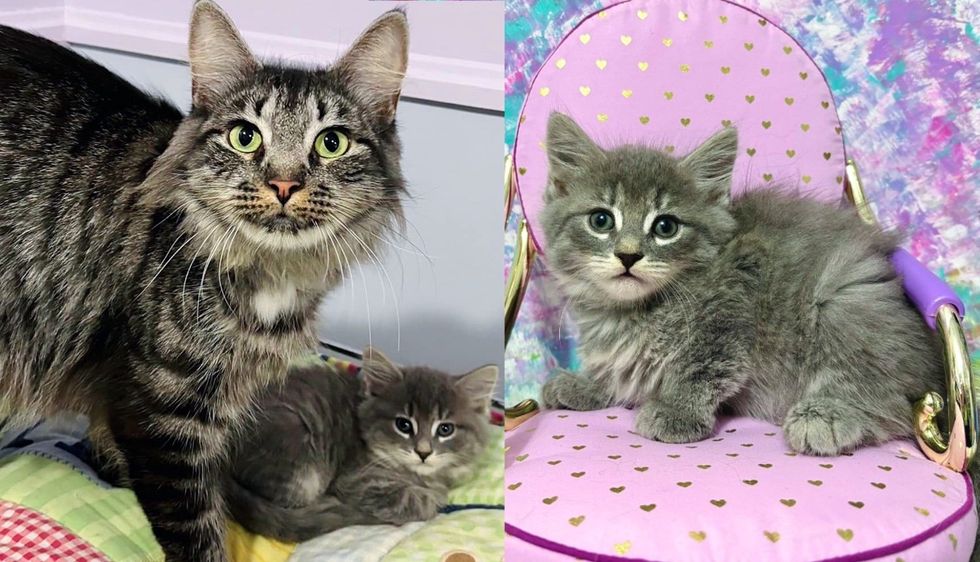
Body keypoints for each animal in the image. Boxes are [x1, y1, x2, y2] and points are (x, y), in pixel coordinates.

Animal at [0, 3, 410, 556]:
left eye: (332, 143)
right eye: (245, 136)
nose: (283, 184)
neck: (271, 280)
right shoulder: (160, 419)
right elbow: (199, 534)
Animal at [225, 348, 494, 540]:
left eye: (445, 429)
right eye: (404, 425)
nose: (423, 452)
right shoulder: (355, 479)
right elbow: (421, 501)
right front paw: (434, 497)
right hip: (300, 463)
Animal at [540, 112, 944, 456]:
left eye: (666, 227)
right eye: (601, 220)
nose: (628, 255)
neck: (631, 310)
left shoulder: (731, 307)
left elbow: (701, 369)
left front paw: (677, 412)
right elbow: (620, 371)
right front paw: (586, 385)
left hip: (846, 298)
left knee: (891, 401)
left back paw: (825, 416)